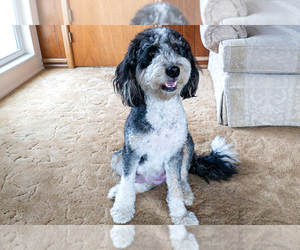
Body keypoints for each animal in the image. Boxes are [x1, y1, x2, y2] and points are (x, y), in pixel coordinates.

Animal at [108, 26, 239, 225]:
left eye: (177, 49)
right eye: (151, 52)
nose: (173, 69)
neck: (161, 108)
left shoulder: (174, 154)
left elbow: (175, 188)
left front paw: (181, 216)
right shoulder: (131, 153)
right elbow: (127, 182)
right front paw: (122, 209)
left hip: (187, 145)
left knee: (182, 178)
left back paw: (186, 194)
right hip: (117, 158)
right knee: (142, 184)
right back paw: (117, 190)